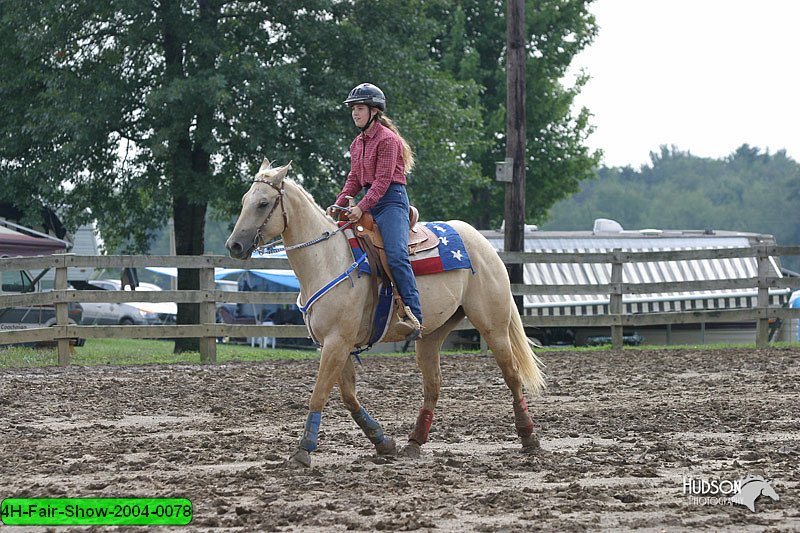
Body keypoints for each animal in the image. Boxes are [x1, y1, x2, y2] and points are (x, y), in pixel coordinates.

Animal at [228, 159, 548, 466]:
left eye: (263, 203)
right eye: (244, 200)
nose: (234, 246)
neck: (327, 259)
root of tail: (482, 243)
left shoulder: (336, 342)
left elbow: (319, 394)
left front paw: (302, 451)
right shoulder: (335, 344)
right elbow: (349, 397)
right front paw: (383, 442)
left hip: (493, 325)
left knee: (512, 376)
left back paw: (529, 438)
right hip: (432, 334)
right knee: (433, 385)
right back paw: (414, 442)